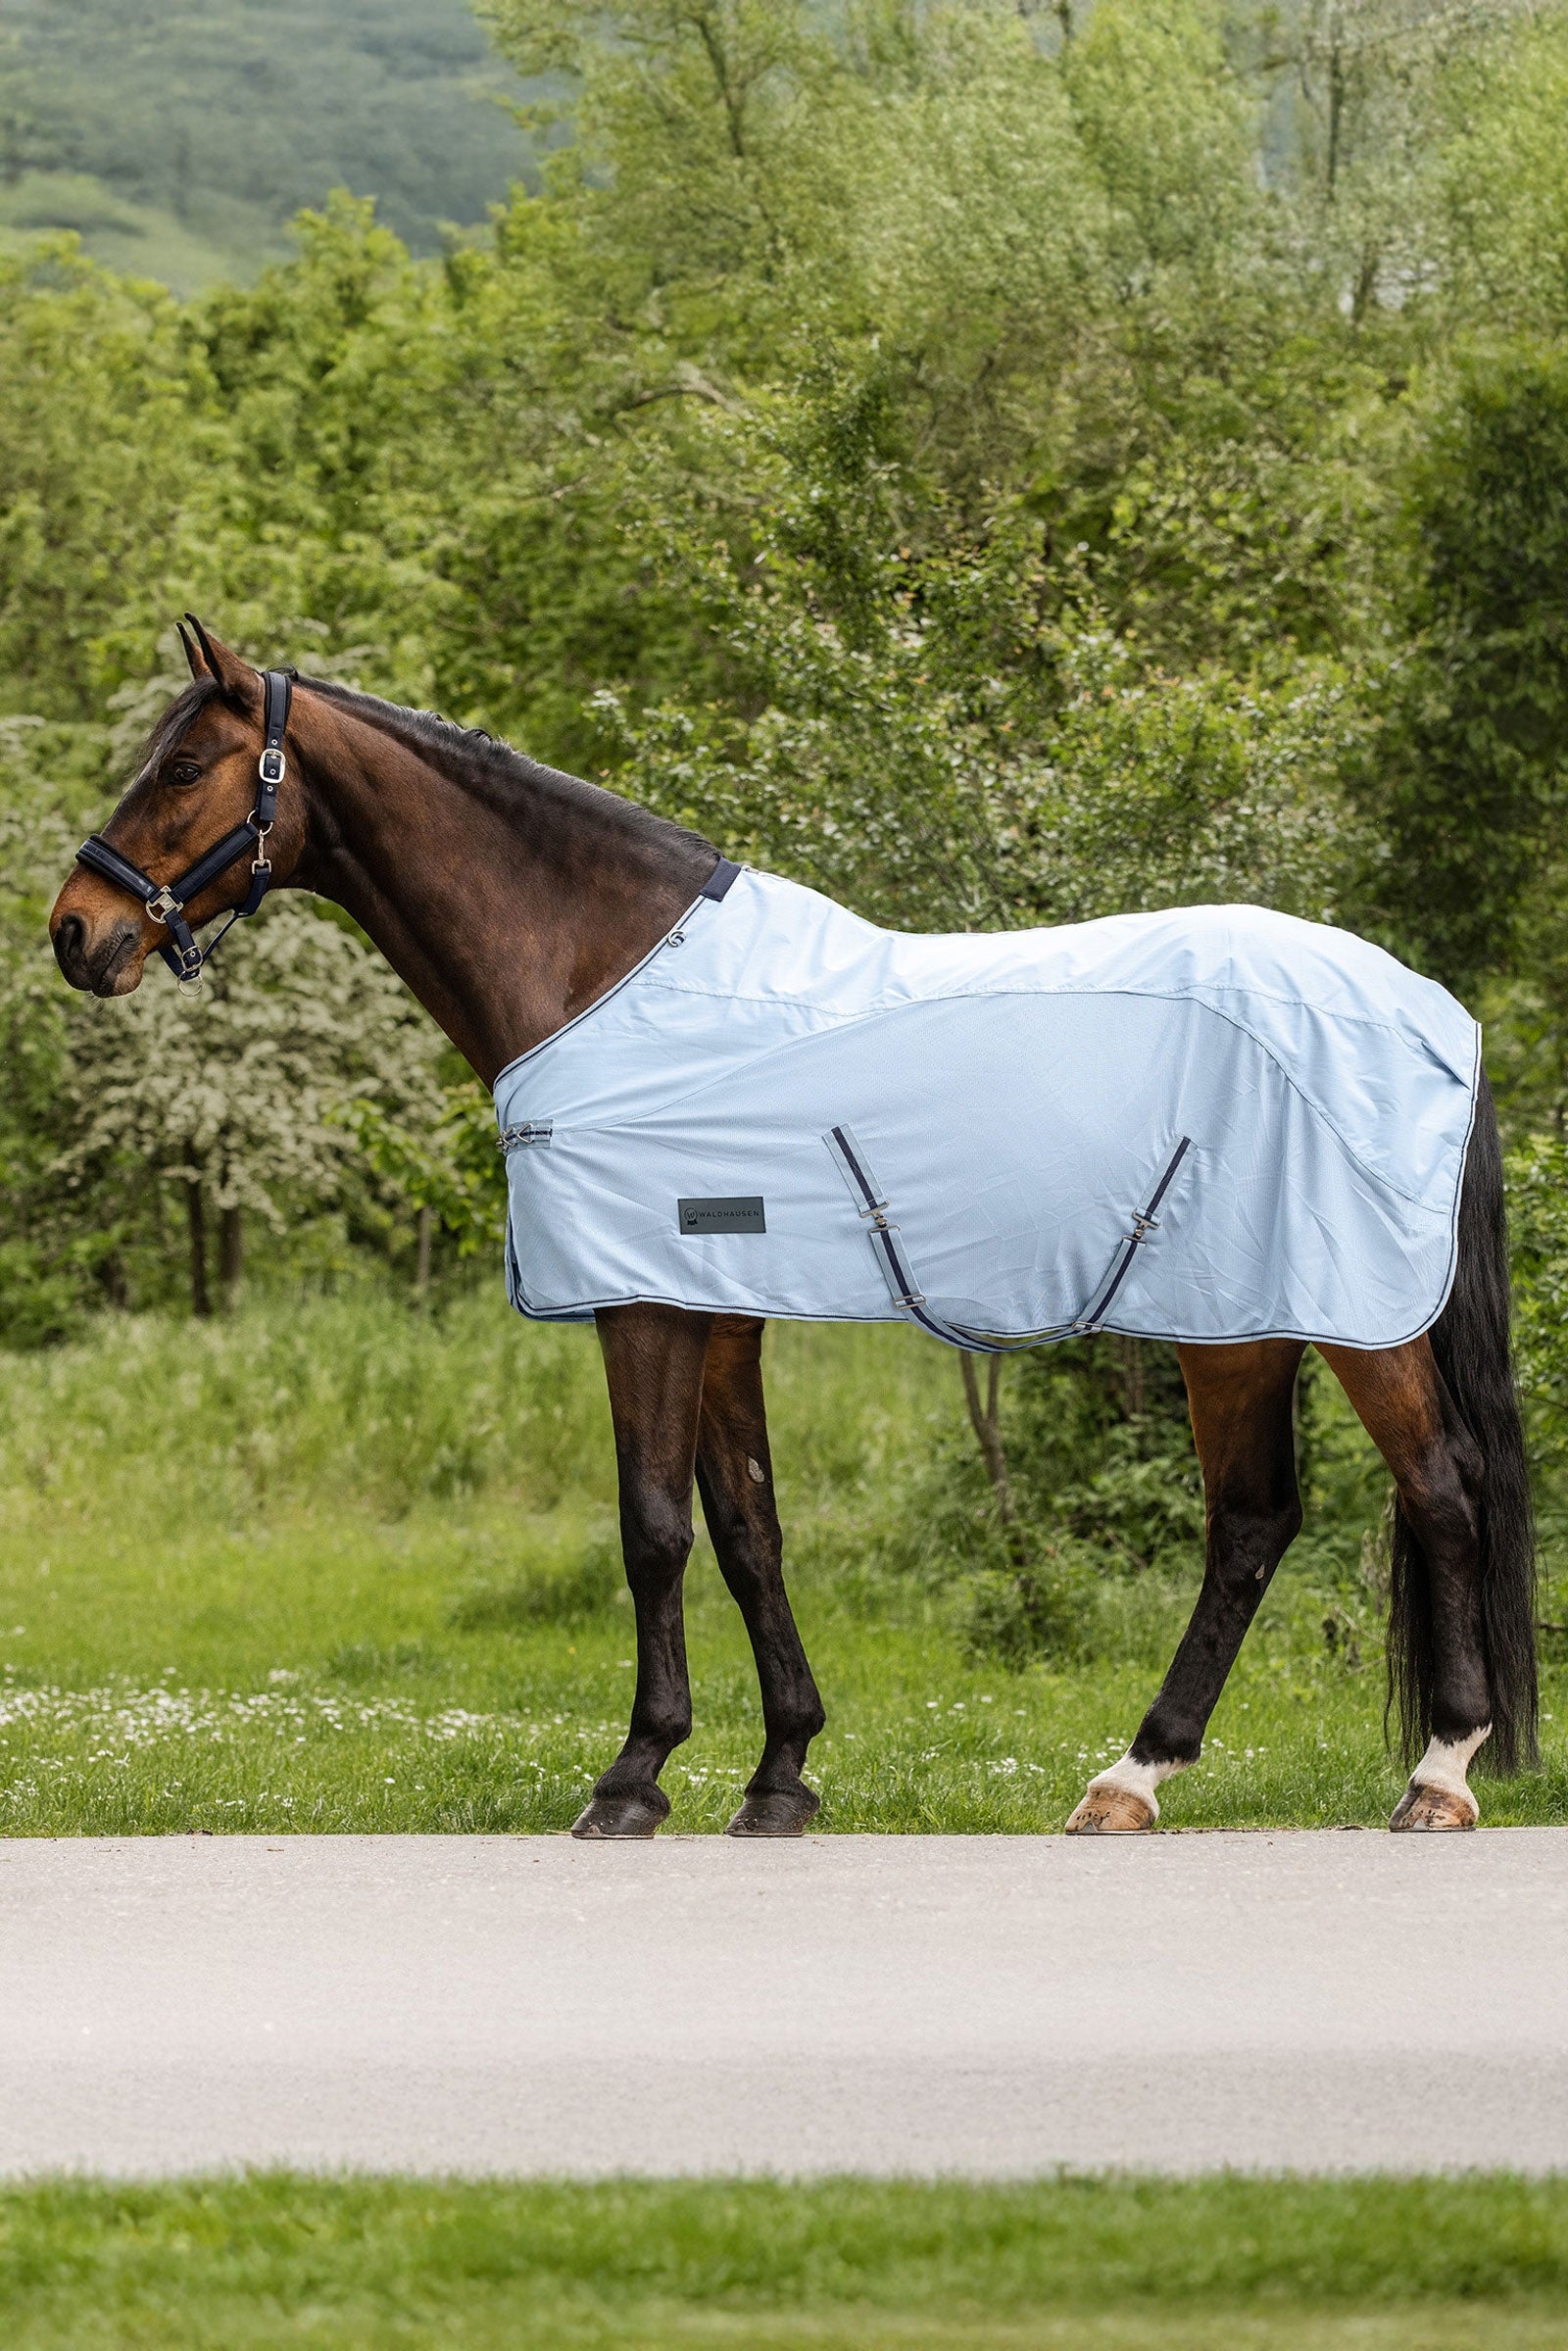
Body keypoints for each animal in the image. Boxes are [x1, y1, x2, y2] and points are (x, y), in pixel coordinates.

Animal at [48, 619, 1537, 1839]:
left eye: (184, 765)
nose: (76, 929)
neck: (604, 974)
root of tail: (1429, 1005)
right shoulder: (716, 1307)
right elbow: (747, 1525)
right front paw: (780, 1775)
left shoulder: (647, 1303)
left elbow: (654, 1524)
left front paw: (633, 1777)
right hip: (1239, 1319)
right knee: (1253, 1520)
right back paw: (1134, 1777)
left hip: (1347, 1316)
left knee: (1441, 1485)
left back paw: (1438, 1773)